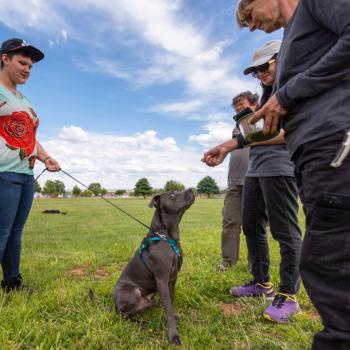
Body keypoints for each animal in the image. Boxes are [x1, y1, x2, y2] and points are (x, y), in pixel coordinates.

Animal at [115, 189, 196, 344]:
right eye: (172, 194)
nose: (191, 189)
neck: (167, 237)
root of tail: (113, 305)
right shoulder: (161, 279)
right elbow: (168, 309)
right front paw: (174, 336)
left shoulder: (172, 279)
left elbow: (170, 303)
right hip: (133, 292)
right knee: (123, 316)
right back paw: (140, 323)